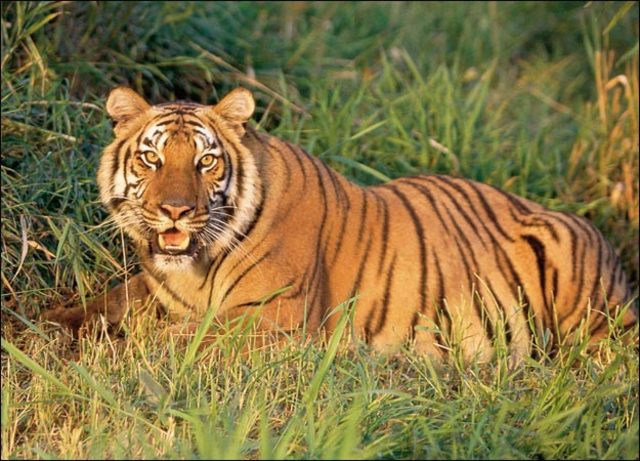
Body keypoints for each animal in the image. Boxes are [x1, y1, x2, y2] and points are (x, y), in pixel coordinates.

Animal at [42, 86, 637, 365]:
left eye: (205, 162)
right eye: (152, 158)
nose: (175, 210)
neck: (193, 268)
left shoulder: (271, 317)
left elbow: (171, 339)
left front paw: (107, 352)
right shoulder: (154, 289)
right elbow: (108, 302)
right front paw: (50, 327)